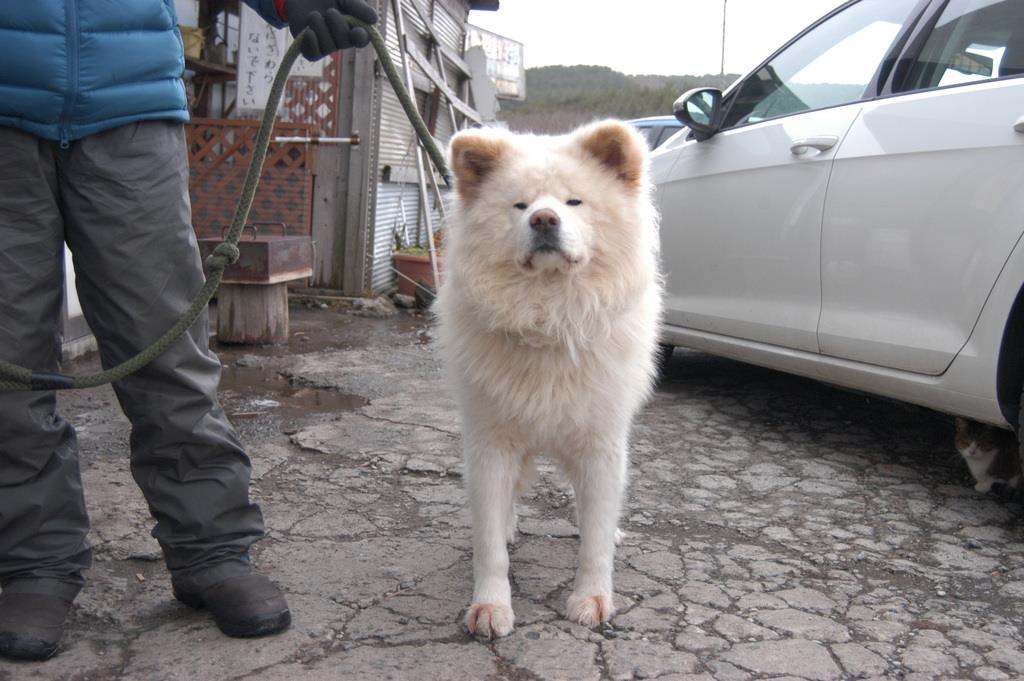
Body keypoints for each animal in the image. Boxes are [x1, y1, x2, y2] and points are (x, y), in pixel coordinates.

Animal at [434, 118, 663, 639]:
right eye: (519, 206)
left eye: (574, 202)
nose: (543, 220)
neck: (548, 317)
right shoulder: (491, 444)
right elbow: (489, 548)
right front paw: (490, 606)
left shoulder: (600, 444)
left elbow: (594, 537)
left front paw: (592, 598)